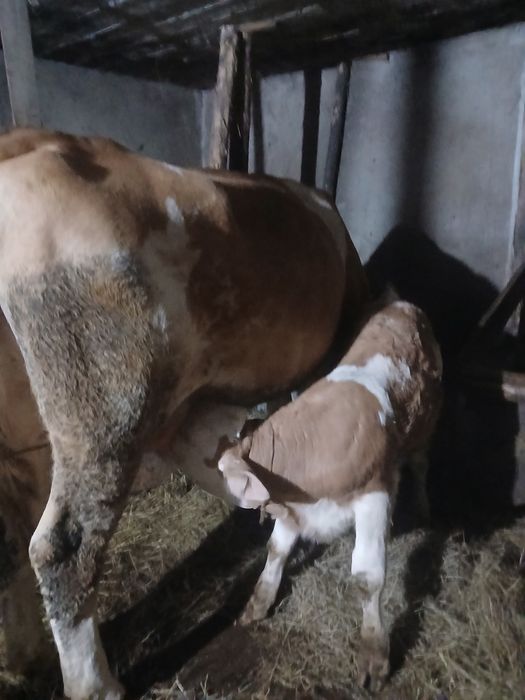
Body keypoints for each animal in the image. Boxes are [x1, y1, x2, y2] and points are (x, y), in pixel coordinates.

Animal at [219, 301, 442, 691]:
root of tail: (402, 305)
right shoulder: (293, 507)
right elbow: (276, 550)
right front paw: (258, 604)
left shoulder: (374, 496)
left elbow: (367, 577)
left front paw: (375, 656)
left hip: (425, 428)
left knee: (420, 465)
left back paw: (424, 507)